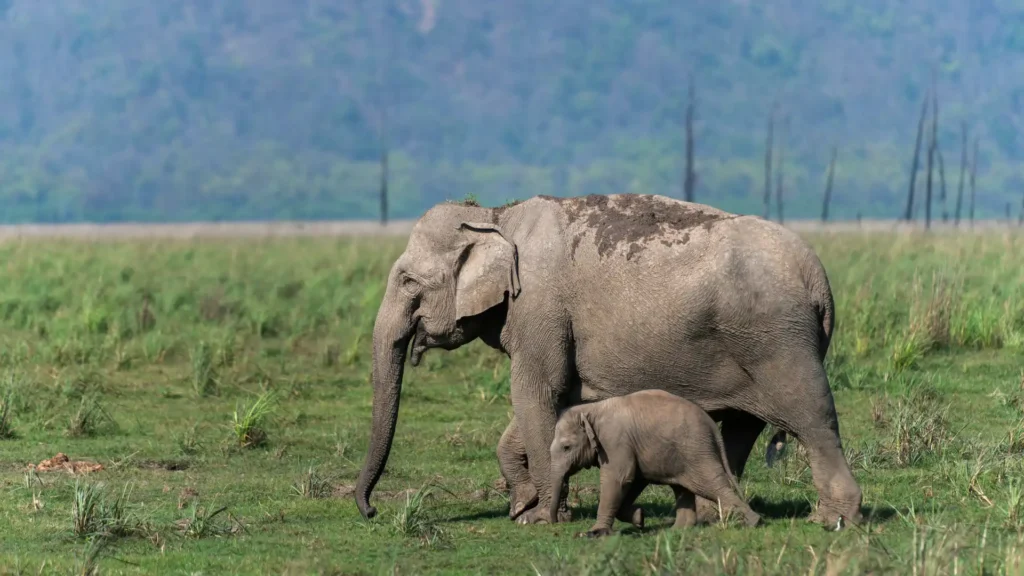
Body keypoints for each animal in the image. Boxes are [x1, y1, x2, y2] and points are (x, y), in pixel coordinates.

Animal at [552, 387, 761, 537]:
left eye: (566, 447)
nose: (555, 522)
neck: (591, 410)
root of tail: (711, 424)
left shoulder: (615, 441)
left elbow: (620, 478)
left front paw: (595, 533)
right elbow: (634, 480)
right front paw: (640, 518)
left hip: (696, 450)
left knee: (710, 484)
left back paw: (753, 522)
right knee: (683, 488)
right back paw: (678, 530)